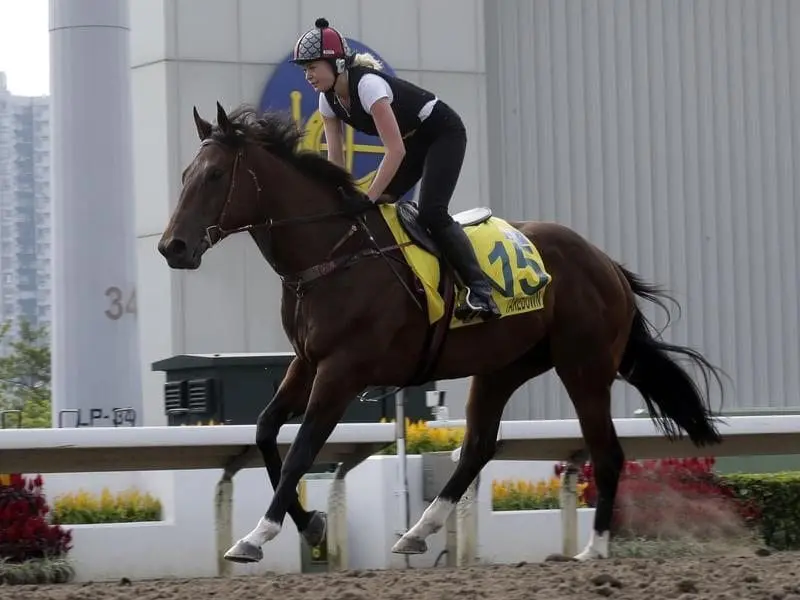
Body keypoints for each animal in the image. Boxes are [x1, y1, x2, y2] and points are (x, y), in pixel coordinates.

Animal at [157, 101, 725, 564]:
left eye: (213, 176)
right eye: (186, 174)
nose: (172, 247)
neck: (333, 253)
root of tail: (606, 263)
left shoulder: (344, 370)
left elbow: (302, 448)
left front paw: (257, 535)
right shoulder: (307, 361)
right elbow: (265, 431)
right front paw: (312, 525)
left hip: (583, 367)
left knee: (606, 454)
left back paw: (594, 550)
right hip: (503, 367)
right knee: (477, 447)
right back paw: (417, 531)